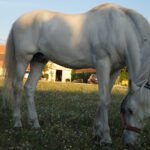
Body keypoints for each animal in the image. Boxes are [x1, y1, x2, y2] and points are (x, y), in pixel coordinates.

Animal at [2, 3, 150, 146]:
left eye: (147, 115)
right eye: (129, 110)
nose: (130, 143)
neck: (120, 29)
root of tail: (18, 20)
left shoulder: (115, 70)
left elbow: (105, 96)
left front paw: (97, 133)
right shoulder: (102, 63)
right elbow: (104, 99)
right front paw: (105, 137)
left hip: (39, 60)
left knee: (29, 88)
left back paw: (35, 124)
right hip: (23, 59)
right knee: (17, 87)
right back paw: (17, 123)